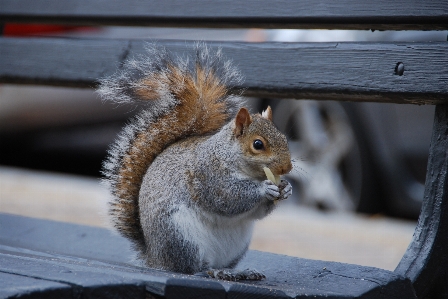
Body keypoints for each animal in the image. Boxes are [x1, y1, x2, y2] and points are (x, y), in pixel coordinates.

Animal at [97, 44, 292, 282]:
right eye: (258, 144)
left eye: (284, 138)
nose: (287, 168)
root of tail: (155, 257)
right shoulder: (208, 175)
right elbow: (228, 198)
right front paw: (265, 189)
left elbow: (257, 213)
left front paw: (286, 188)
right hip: (181, 236)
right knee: (191, 268)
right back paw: (213, 271)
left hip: (236, 245)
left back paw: (240, 272)